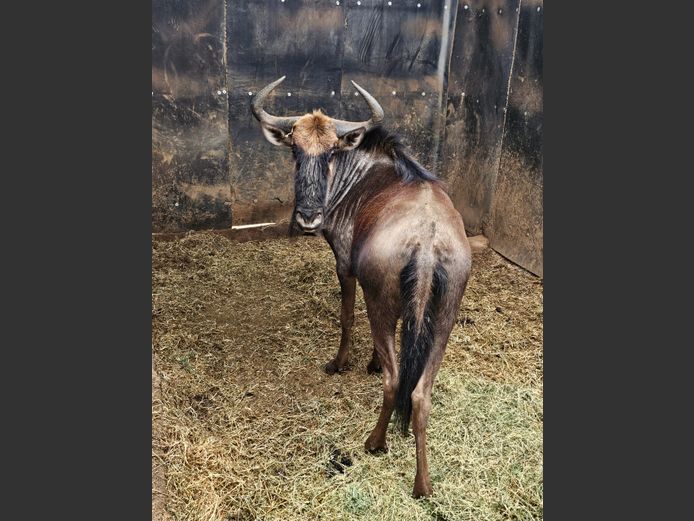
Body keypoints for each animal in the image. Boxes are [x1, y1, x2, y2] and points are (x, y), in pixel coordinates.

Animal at [252, 77, 471, 498]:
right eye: (295, 150)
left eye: (331, 152)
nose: (308, 218)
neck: (362, 175)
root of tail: (427, 241)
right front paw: (370, 362)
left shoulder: (345, 266)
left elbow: (346, 318)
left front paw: (340, 364)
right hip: (444, 320)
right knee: (419, 393)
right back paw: (423, 485)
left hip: (385, 305)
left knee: (394, 381)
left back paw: (374, 442)